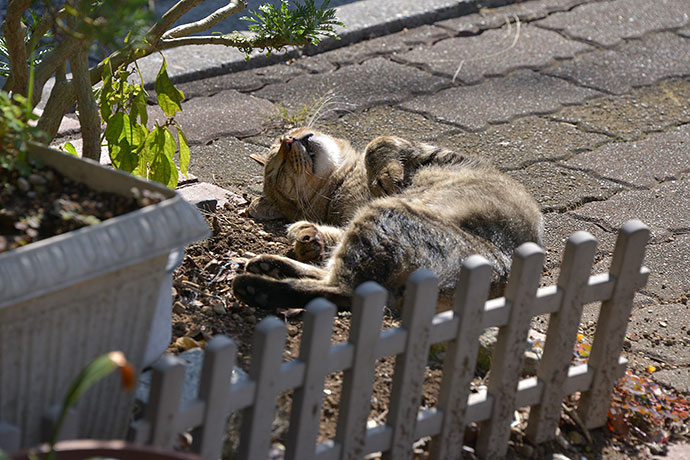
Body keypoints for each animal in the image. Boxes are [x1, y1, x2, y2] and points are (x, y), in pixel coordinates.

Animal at [236, 127, 544, 310]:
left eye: (284, 139)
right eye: (279, 169)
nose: (290, 140)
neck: (343, 181)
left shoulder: (441, 154)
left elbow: (378, 142)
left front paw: (385, 174)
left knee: (344, 282)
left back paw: (268, 268)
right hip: (384, 217)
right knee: (345, 290)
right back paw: (259, 284)